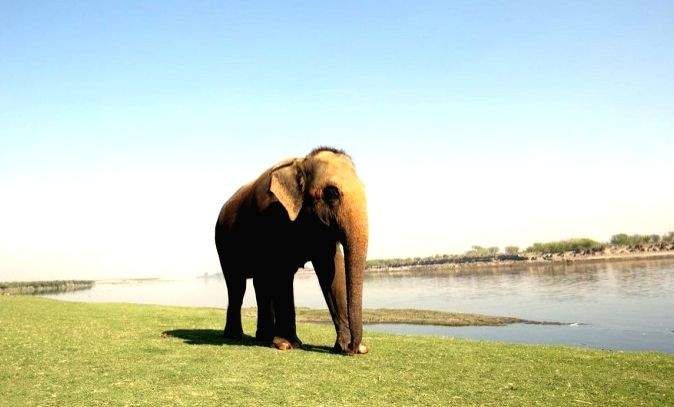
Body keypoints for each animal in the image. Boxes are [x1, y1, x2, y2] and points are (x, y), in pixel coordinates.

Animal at [214, 147, 368, 355]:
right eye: (331, 193)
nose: (355, 347)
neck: (301, 162)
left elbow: (331, 270)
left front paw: (343, 347)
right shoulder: (274, 216)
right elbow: (282, 274)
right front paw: (287, 345)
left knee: (260, 283)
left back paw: (263, 337)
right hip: (223, 245)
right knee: (237, 285)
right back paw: (235, 336)